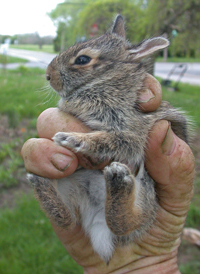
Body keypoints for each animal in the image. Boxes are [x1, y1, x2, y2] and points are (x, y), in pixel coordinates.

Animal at [27, 15, 189, 264]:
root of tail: (99, 227)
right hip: (72, 187)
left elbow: (111, 140)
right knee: (67, 219)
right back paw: (39, 180)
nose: (48, 75)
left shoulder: (132, 131)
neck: (105, 81)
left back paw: (118, 181)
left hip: (147, 186)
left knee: (126, 222)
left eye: (82, 59)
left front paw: (71, 138)